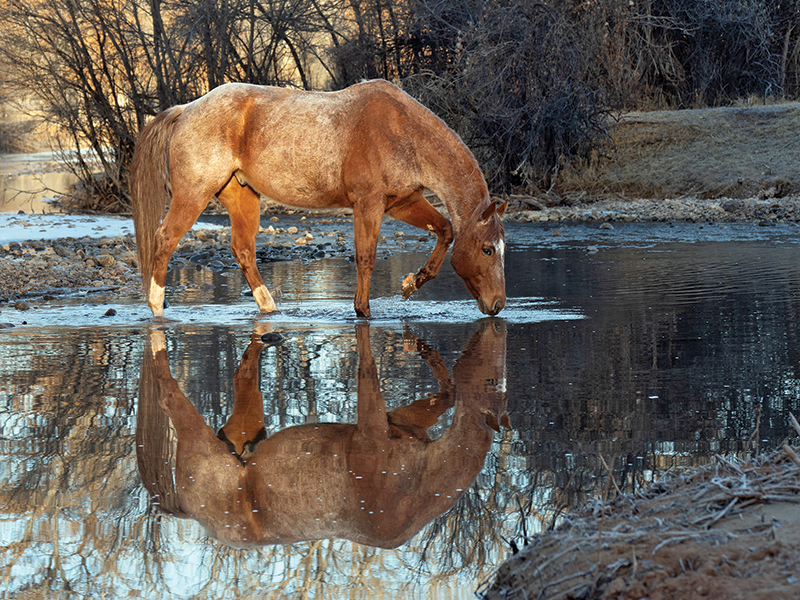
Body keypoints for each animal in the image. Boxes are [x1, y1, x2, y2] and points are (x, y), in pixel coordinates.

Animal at [130, 80, 506, 318]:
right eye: (487, 250)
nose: (498, 305)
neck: (402, 132)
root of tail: (186, 109)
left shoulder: (402, 203)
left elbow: (445, 230)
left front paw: (412, 284)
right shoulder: (368, 205)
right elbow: (366, 257)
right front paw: (362, 311)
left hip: (242, 197)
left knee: (243, 250)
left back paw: (270, 308)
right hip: (194, 194)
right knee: (165, 238)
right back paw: (157, 307)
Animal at [136, 321, 508, 548]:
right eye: (490, 380)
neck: (418, 487)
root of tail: (192, 512)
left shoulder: (402, 424)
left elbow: (447, 394)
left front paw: (422, 348)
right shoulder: (373, 427)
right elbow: (369, 368)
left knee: (243, 375)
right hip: (198, 441)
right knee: (169, 396)